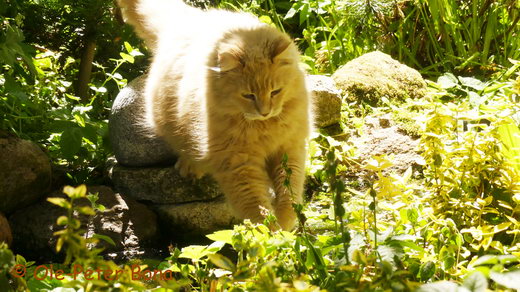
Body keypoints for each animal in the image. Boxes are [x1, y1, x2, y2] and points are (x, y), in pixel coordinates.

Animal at [116, 0, 310, 230]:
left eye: (275, 92)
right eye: (248, 95)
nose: (265, 111)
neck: (263, 128)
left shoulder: (290, 149)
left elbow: (289, 193)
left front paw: (285, 222)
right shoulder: (239, 165)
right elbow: (257, 207)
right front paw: (271, 232)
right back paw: (191, 166)